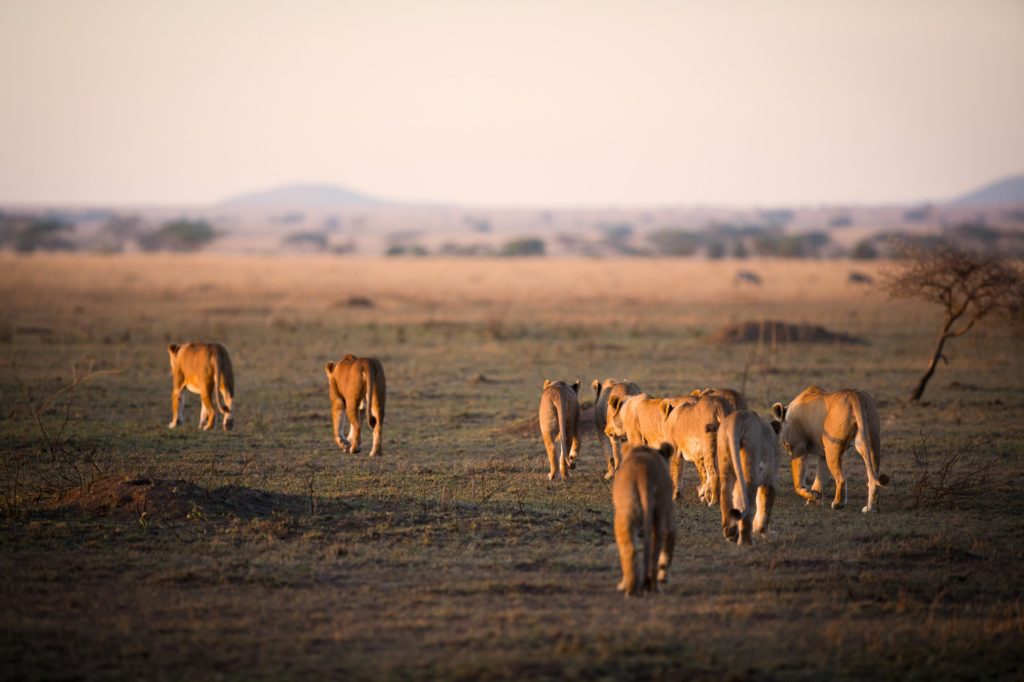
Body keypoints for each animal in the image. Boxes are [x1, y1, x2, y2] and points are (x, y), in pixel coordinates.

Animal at [610, 440, 675, 593]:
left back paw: (627, 587)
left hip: (624, 513)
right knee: (655, 548)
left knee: (629, 549)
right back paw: (653, 586)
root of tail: (644, 475)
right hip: (659, 511)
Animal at [716, 409, 778, 540]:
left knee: (726, 492)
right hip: (751, 452)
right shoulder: (771, 478)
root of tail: (737, 417)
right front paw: (761, 530)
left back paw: (730, 532)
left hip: (724, 453)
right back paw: (746, 540)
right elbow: (766, 500)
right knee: (747, 495)